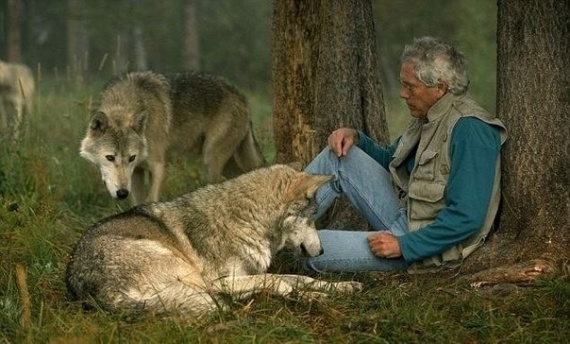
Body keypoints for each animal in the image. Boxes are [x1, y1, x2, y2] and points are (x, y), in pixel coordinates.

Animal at [65, 165, 360, 316]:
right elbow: (278, 281)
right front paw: (315, 299)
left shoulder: (248, 274)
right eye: (312, 218)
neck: (247, 221)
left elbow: (300, 278)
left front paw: (340, 287)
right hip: (190, 275)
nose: (321, 251)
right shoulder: (222, 281)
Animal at [79, 70, 266, 204]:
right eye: (110, 157)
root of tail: (241, 96)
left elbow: (151, 199)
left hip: (211, 160)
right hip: (229, 165)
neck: (124, 104)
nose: (122, 193)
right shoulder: (137, 172)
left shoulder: (158, 166)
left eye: (131, 157)